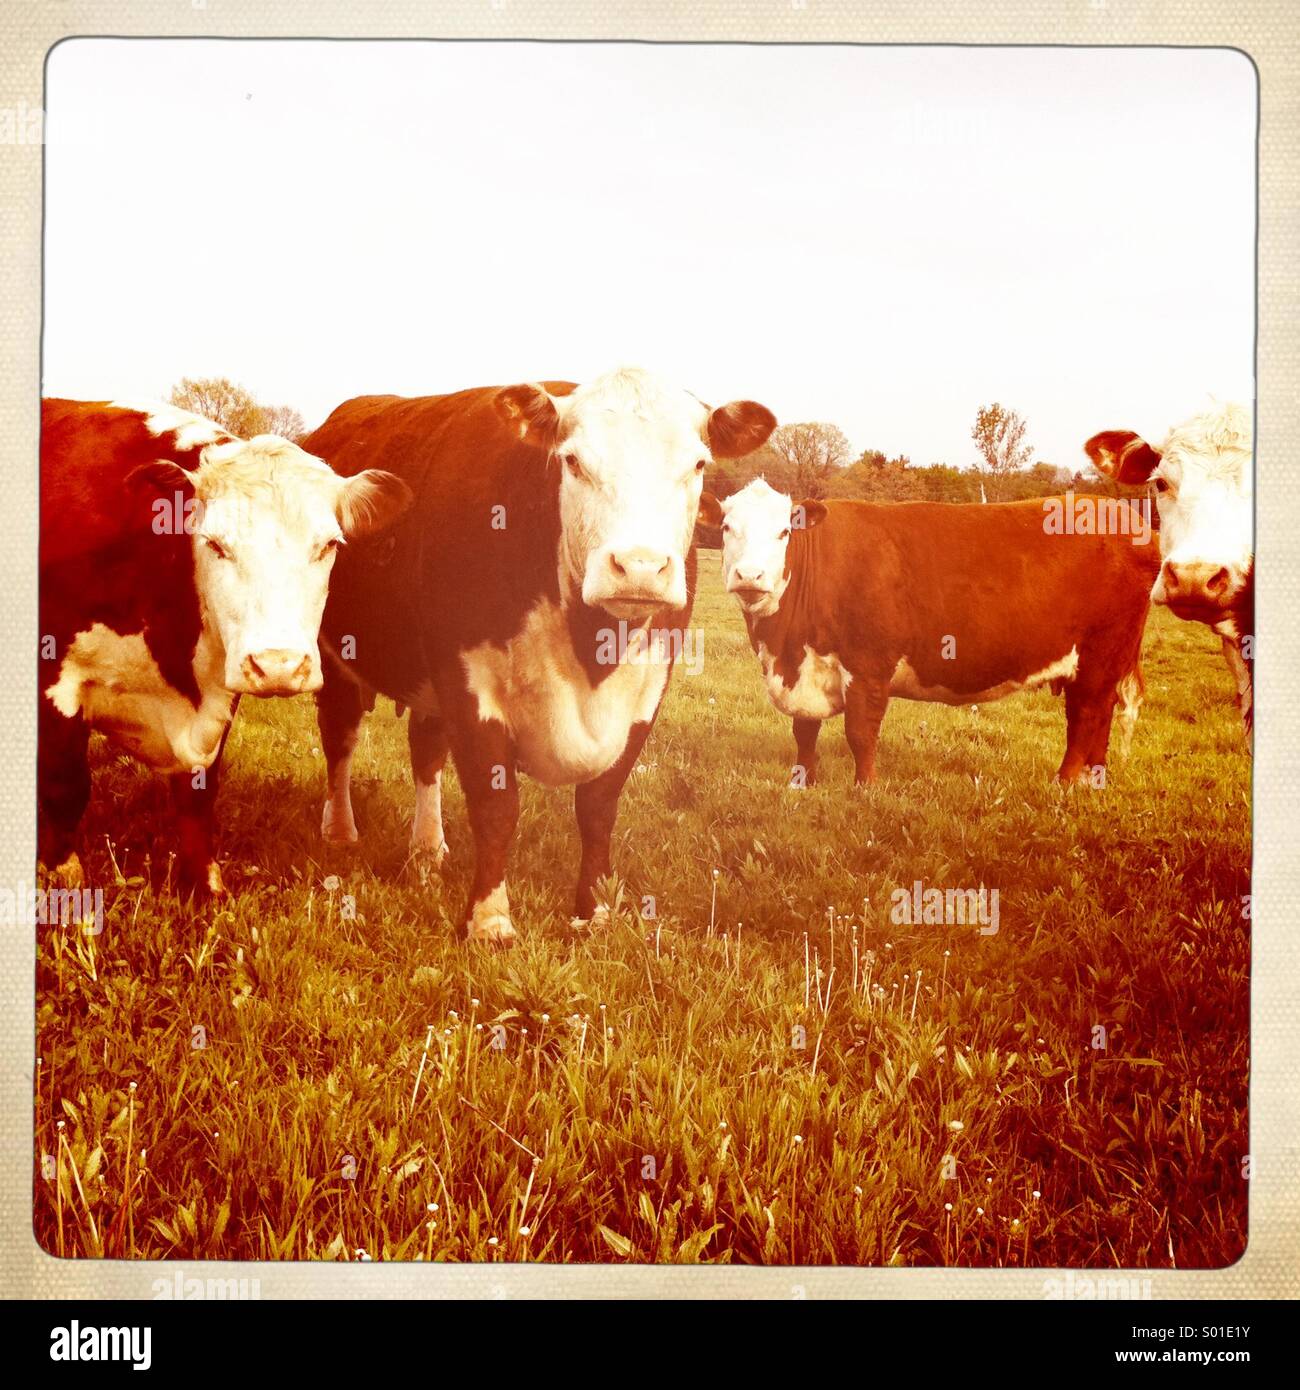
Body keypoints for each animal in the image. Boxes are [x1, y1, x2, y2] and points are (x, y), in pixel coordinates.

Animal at [39, 399, 411, 894]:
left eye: (329, 545)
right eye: (214, 544)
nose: (279, 665)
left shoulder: (218, 696)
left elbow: (198, 792)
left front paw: (204, 887)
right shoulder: (54, 680)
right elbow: (65, 785)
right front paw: (62, 875)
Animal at [301, 368, 776, 945]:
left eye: (699, 464)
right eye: (572, 461)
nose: (639, 567)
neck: (591, 654)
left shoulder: (645, 697)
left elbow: (598, 808)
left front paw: (594, 911)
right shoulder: (469, 683)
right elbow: (496, 807)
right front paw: (489, 920)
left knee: (425, 752)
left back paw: (427, 850)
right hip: (335, 657)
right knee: (340, 738)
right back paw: (340, 830)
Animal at [700, 478, 1158, 787]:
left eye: (783, 531)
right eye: (726, 528)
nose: (750, 575)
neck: (784, 647)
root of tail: (1126, 517)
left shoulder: (869, 665)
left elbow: (860, 733)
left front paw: (864, 789)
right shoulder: (806, 669)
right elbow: (805, 730)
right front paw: (804, 783)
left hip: (1099, 654)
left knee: (1086, 715)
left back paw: (1062, 783)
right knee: (1102, 716)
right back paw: (1092, 781)